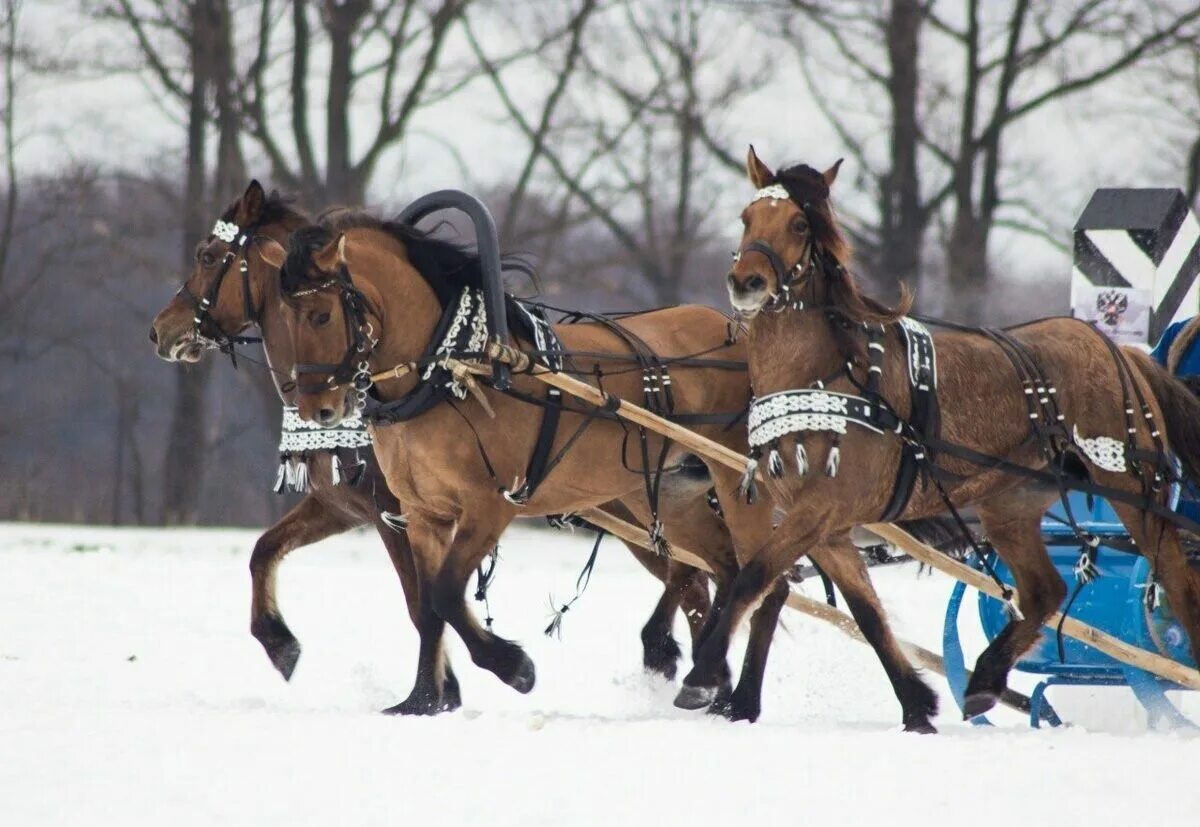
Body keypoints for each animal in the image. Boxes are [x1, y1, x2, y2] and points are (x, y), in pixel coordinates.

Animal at [146, 182, 715, 710]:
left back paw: (684, 664)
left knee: (696, 578)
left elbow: (426, 603)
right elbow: (265, 550)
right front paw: (283, 644)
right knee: (695, 580)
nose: (160, 332)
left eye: (208, 256)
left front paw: (447, 688)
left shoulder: (400, 512)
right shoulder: (350, 507)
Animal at [272, 205, 945, 720]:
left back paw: (737, 698)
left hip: (739, 484)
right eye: (284, 316)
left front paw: (513, 666)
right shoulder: (421, 513)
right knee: (730, 577)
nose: (318, 408)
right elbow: (431, 608)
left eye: (322, 313)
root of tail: (743, 337)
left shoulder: (490, 505)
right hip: (677, 497)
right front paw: (422, 702)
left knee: (766, 583)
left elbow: (442, 594)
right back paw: (721, 683)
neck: (454, 367)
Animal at [696, 145, 1200, 720]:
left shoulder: (820, 511)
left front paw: (705, 674)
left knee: (1180, 585)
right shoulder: (827, 527)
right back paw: (985, 676)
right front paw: (916, 703)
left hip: (1134, 487)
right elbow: (864, 614)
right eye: (746, 218)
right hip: (1010, 502)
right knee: (1043, 591)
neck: (827, 370)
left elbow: (752, 578)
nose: (747, 282)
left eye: (800, 223)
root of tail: (1118, 350)